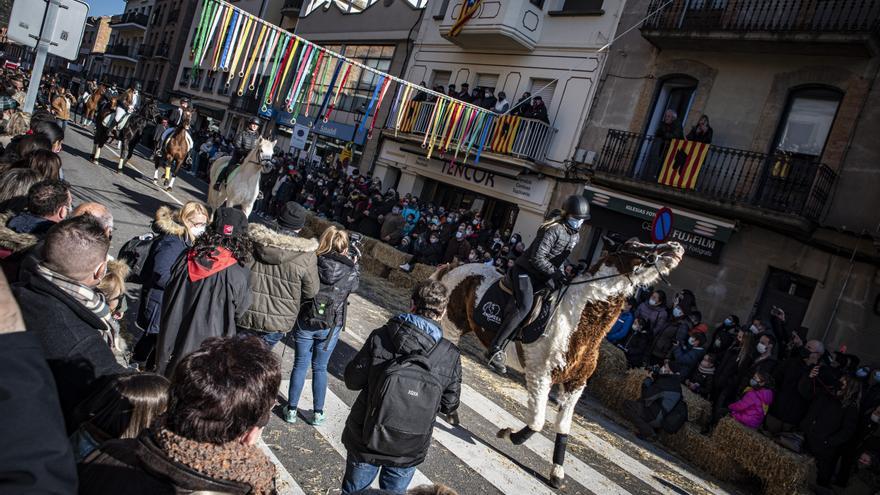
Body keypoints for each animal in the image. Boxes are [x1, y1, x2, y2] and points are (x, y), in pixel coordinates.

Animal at [436, 239, 684, 488]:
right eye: (638, 245)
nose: (676, 247)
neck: (577, 320)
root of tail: (458, 266)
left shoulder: (576, 384)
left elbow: (563, 428)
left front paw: (557, 473)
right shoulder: (540, 376)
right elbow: (537, 423)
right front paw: (507, 433)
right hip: (452, 325)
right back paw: (452, 411)